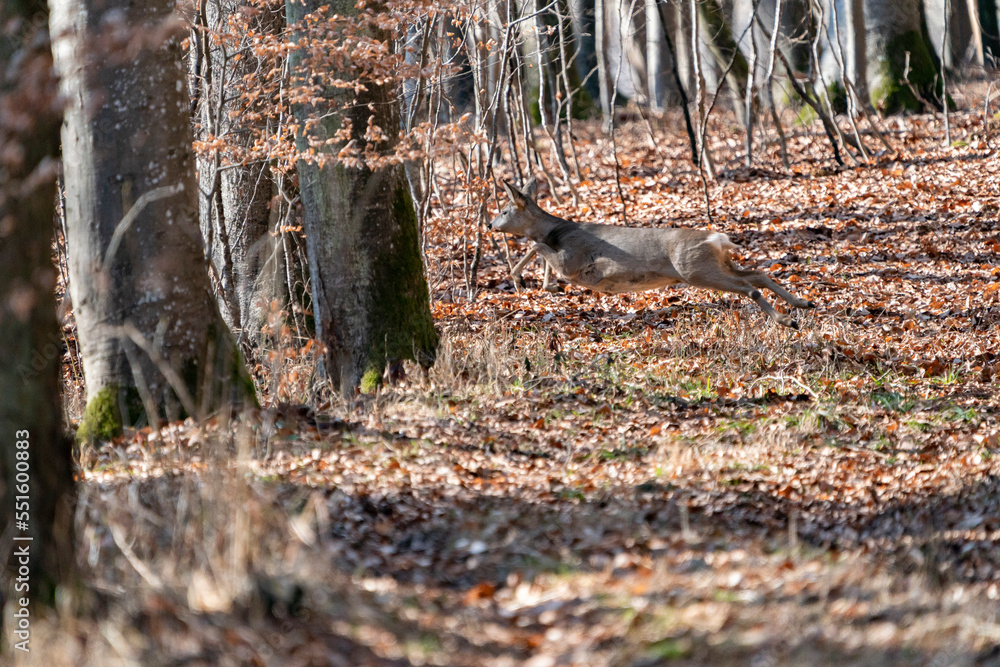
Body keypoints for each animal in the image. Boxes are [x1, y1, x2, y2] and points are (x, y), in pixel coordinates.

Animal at [489, 180, 816, 329]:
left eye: (504, 210)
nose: (490, 224)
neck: (556, 230)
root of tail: (717, 239)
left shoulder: (573, 263)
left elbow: (536, 246)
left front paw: (523, 280)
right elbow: (538, 248)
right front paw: (546, 285)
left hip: (694, 269)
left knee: (749, 288)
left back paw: (786, 320)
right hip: (718, 264)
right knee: (759, 275)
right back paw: (803, 303)